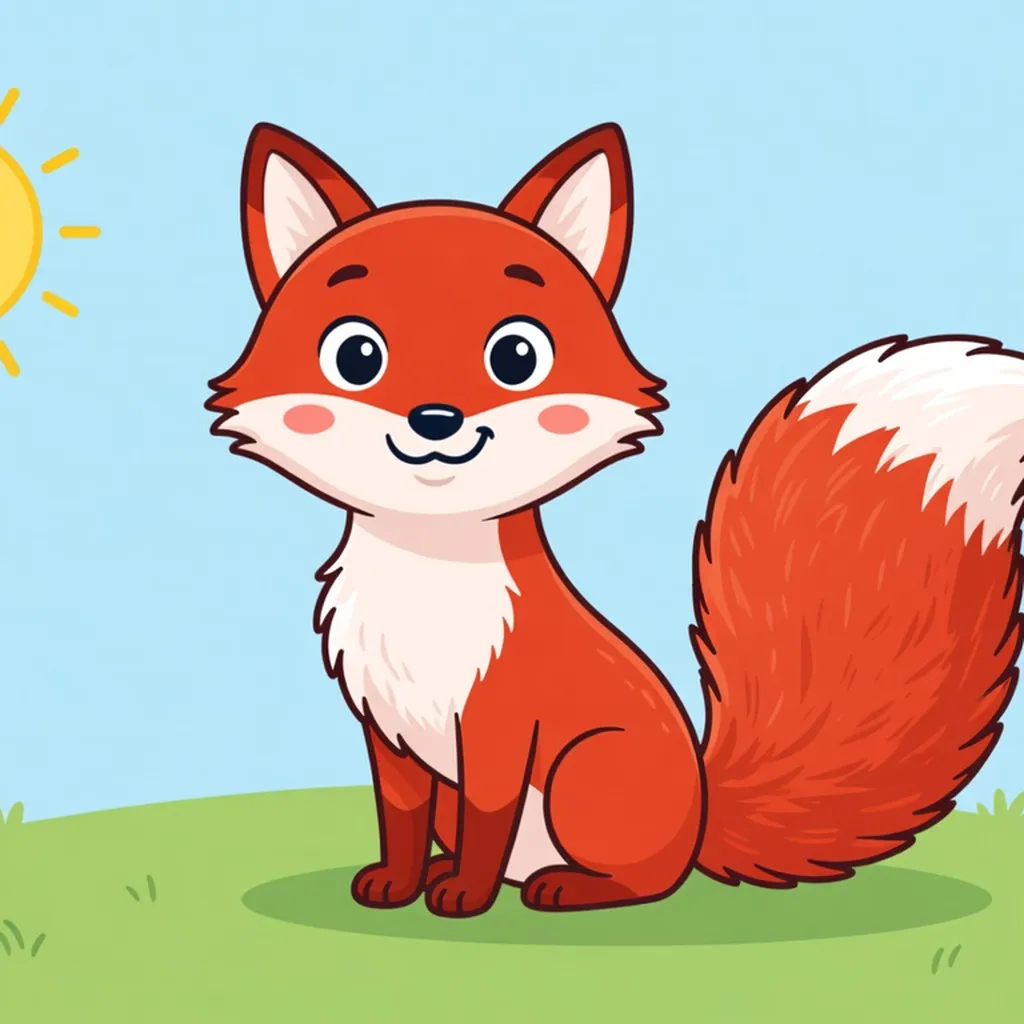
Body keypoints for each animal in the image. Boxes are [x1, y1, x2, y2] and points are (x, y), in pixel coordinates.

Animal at [207, 120, 1022, 917]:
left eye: (516, 355)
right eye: (356, 355)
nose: (435, 420)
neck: (431, 581)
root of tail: (702, 815)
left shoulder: (501, 727)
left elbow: (488, 821)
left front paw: (464, 897)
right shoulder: (390, 731)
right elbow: (399, 819)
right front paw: (396, 886)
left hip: (585, 770)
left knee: (646, 880)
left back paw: (562, 889)